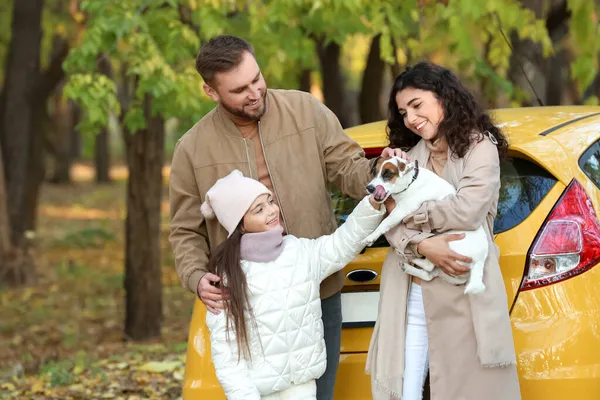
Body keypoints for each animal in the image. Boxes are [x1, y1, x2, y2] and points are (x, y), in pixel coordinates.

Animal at [366, 156, 488, 296]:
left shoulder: (402, 210)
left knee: (429, 266)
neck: (411, 181)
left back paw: (413, 259)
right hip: (449, 274)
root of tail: (479, 261)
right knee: (429, 275)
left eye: (388, 174)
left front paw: (371, 236)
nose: (369, 188)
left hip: (443, 246)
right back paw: (409, 267)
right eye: (374, 172)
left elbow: (385, 222)